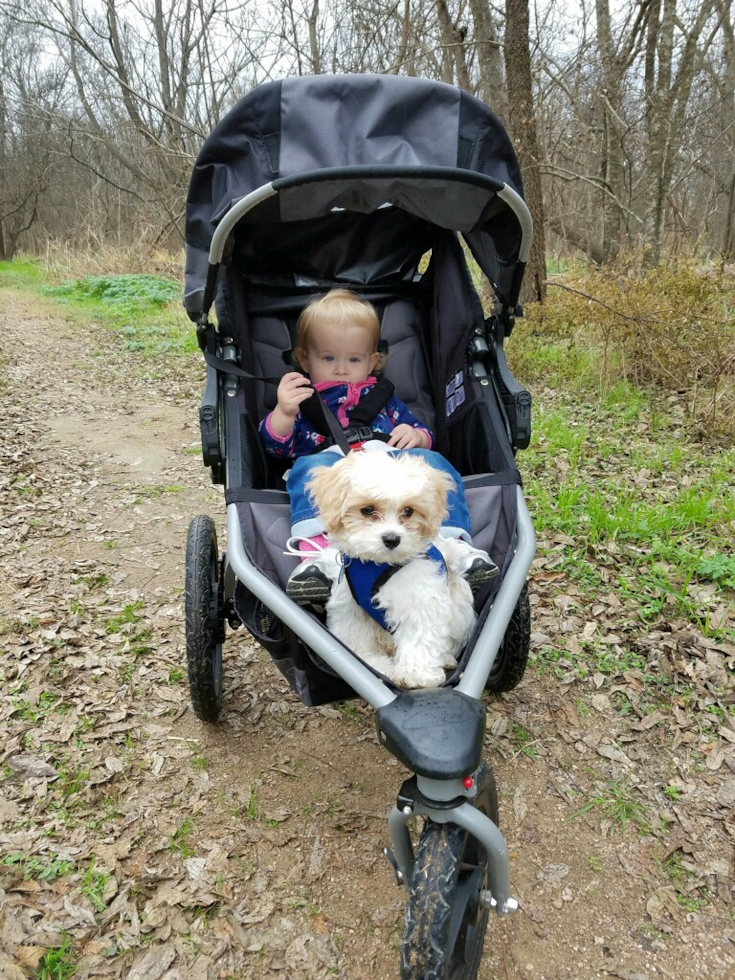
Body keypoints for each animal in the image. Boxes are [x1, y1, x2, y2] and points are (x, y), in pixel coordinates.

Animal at [306, 452, 474, 688]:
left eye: (408, 511)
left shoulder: (421, 598)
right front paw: (375, 665)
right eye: (368, 510)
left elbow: (419, 634)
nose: (392, 539)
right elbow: (357, 639)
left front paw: (417, 675)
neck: (380, 565)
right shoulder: (351, 606)